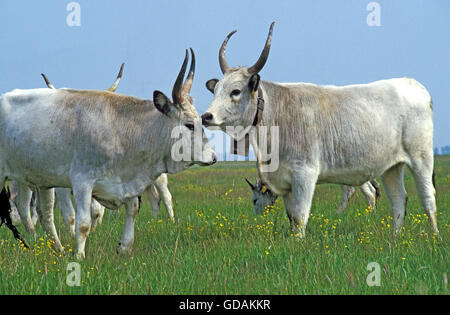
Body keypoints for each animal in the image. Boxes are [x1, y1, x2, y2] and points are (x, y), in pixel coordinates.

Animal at [0, 47, 216, 260]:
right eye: (189, 125)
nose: (213, 157)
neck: (120, 129)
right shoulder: (82, 181)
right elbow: (83, 223)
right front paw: (79, 256)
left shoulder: (125, 180)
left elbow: (132, 210)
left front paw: (125, 247)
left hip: (40, 179)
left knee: (42, 213)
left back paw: (55, 249)